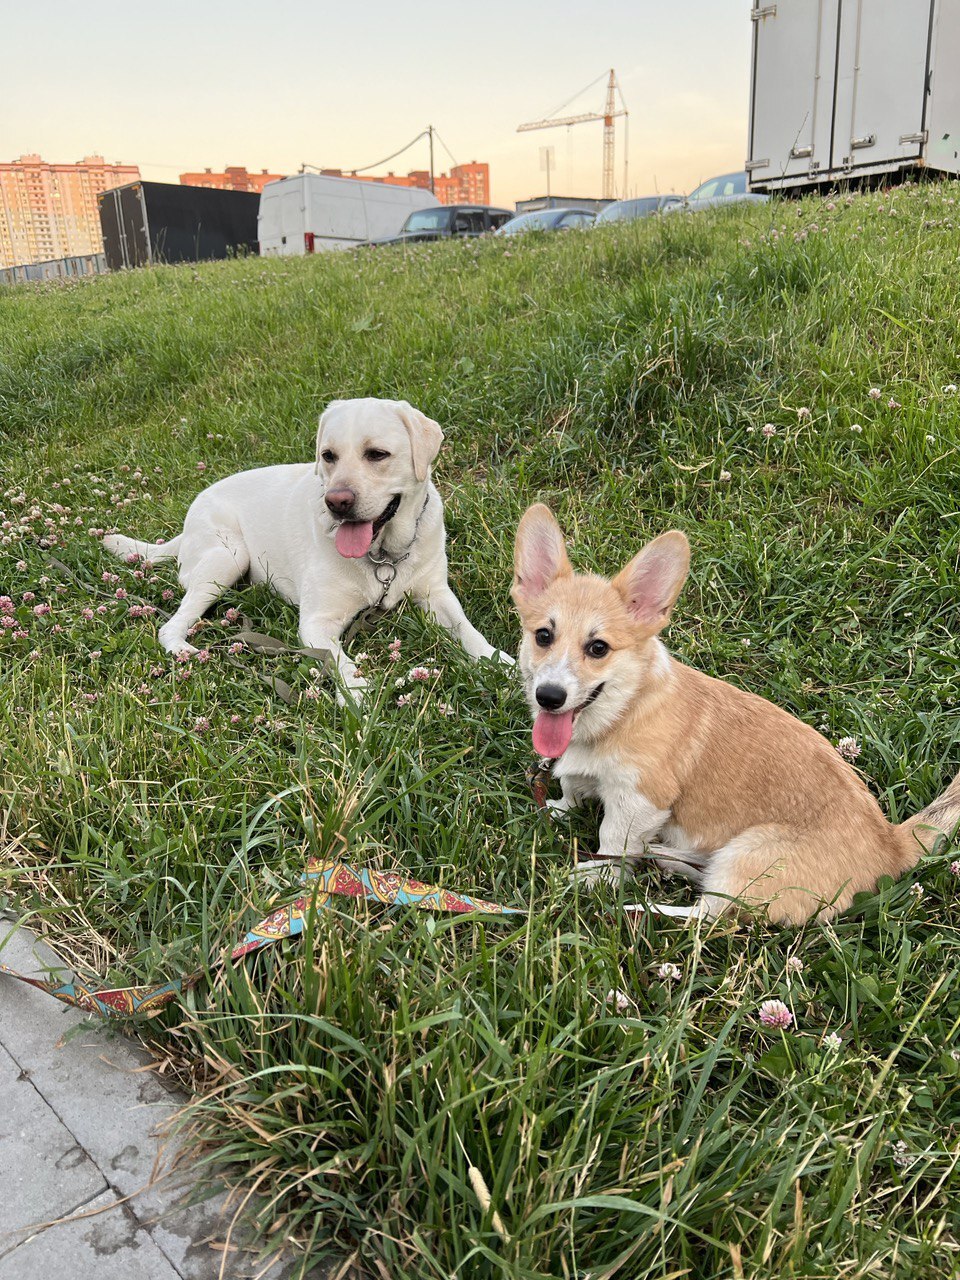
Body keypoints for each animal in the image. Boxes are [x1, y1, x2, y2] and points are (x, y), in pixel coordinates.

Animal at [104, 399, 512, 701]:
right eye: (328, 455)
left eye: (377, 454)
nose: (336, 503)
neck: (383, 555)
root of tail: (188, 520)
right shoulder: (317, 623)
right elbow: (340, 660)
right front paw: (359, 695)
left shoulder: (436, 595)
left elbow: (470, 632)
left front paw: (502, 662)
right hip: (227, 557)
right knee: (171, 623)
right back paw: (183, 648)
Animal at [514, 499, 960, 921]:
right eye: (543, 636)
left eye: (598, 648)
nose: (549, 697)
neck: (622, 711)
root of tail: (890, 844)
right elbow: (572, 791)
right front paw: (557, 811)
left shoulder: (638, 801)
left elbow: (612, 844)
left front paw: (596, 878)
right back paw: (668, 859)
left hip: (747, 854)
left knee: (710, 915)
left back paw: (639, 907)